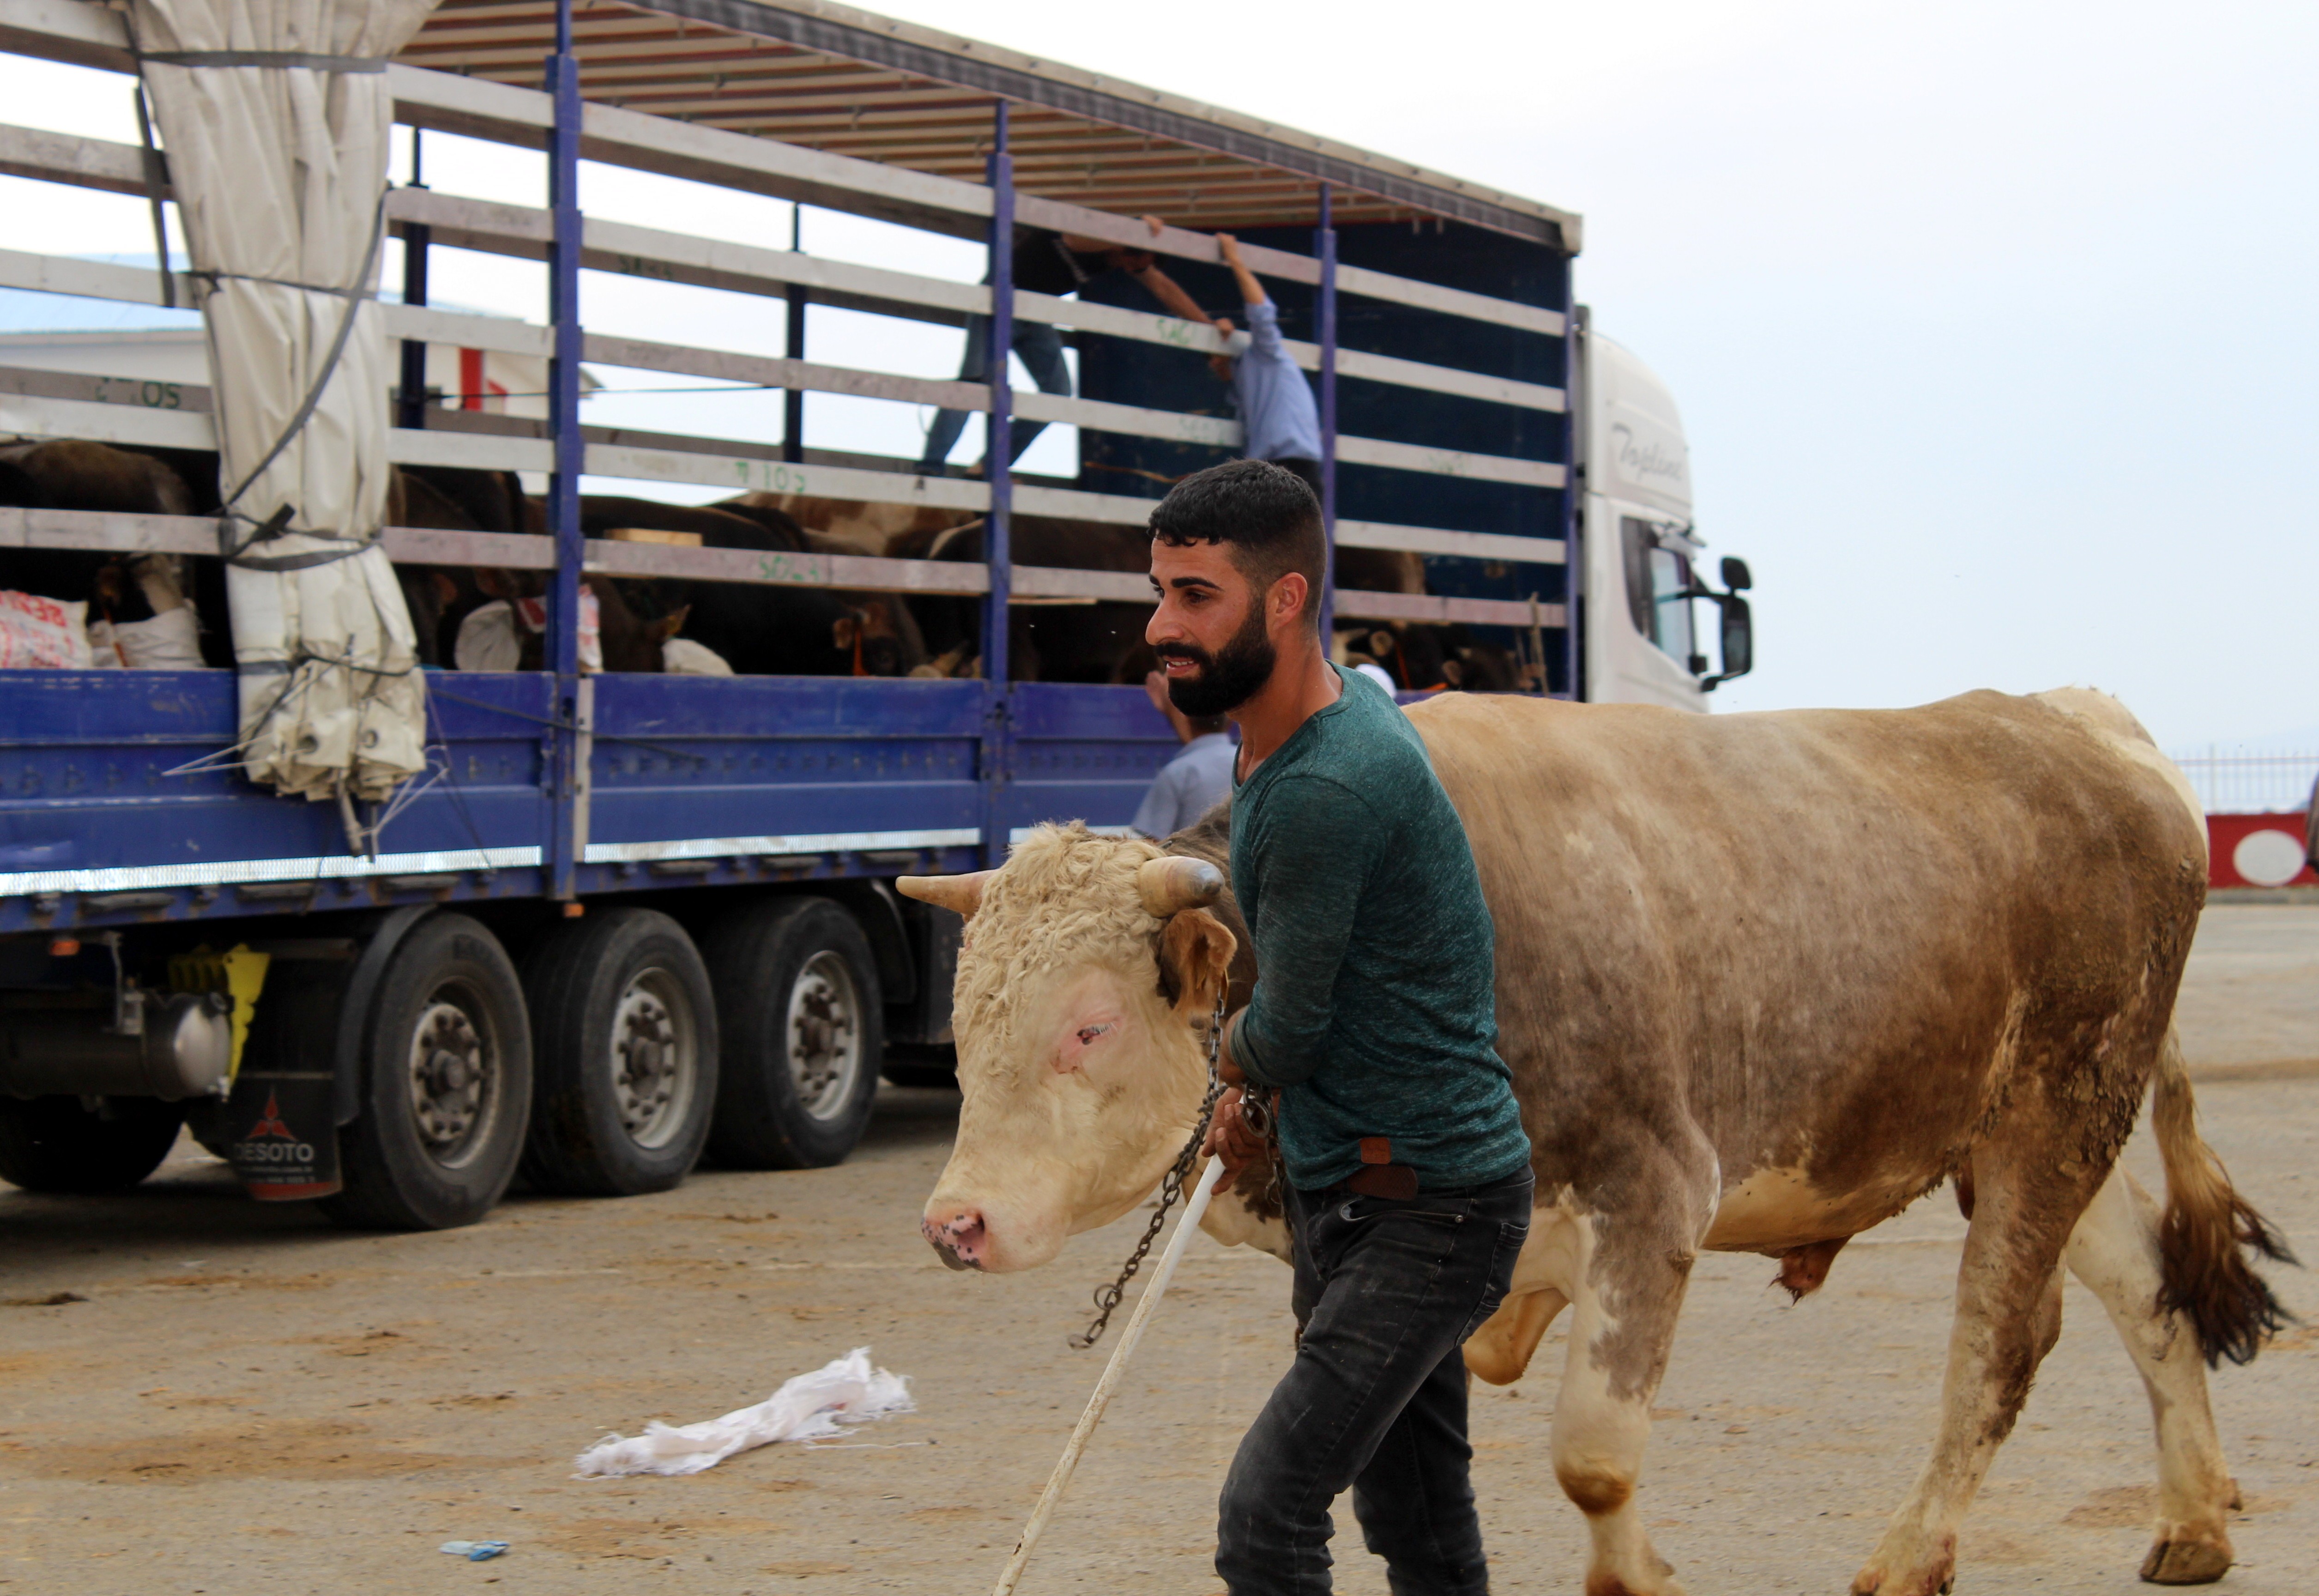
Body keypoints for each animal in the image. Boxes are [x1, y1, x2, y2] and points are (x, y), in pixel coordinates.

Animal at [900, 691, 2282, 1596]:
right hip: (2021, 1132)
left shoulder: (1653, 1191)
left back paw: (1908, 1557)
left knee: (1999, 1341)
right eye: (961, 1020)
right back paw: (2193, 1521)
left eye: (1088, 1025)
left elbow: (1596, 1458)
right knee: (2147, 1293)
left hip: (2059, 1114)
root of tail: (2074, 715)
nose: (953, 1223)